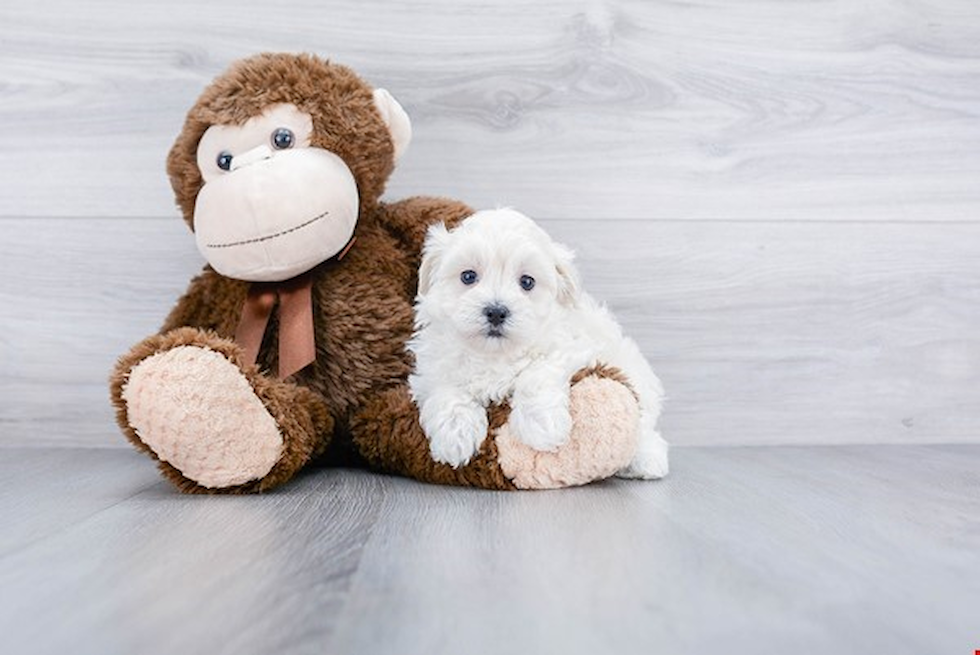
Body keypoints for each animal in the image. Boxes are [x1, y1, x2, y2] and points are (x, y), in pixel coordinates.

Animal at [404, 208, 668, 480]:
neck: (495, 355)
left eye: (527, 282)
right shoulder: (432, 368)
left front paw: (542, 426)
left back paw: (646, 459)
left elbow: (537, 372)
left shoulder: (573, 348)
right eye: (468, 276)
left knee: (645, 425)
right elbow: (445, 390)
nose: (496, 311)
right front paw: (455, 436)